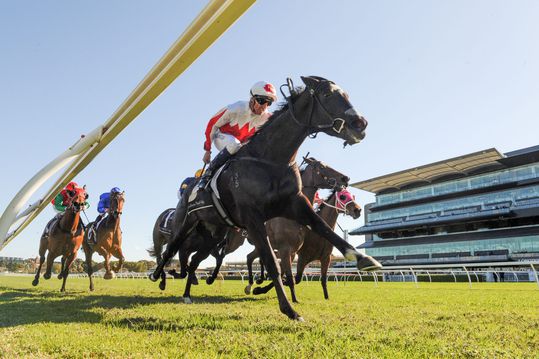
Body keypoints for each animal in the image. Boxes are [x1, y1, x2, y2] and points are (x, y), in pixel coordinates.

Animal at [150, 76, 382, 320]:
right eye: (327, 95)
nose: (360, 123)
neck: (270, 160)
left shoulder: (296, 204)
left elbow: (324, 229)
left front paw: (365, 259)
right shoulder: (253, 218)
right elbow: (273, 263)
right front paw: (289, 309)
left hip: (215, 233)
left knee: (194, 259)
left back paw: (187, 292)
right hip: (185, 222)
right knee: (171, 248)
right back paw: (159, 275)